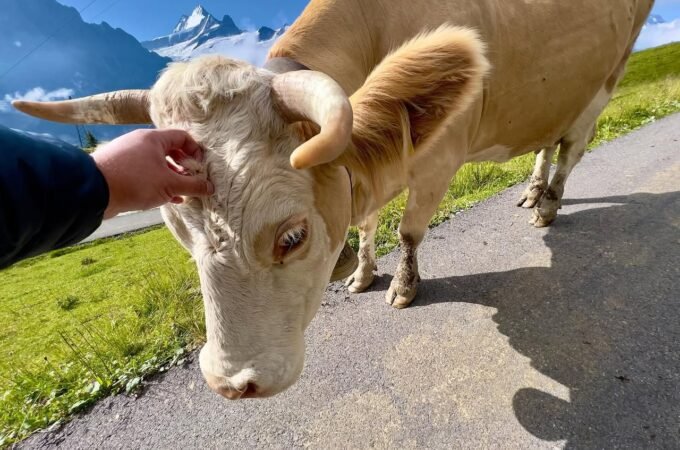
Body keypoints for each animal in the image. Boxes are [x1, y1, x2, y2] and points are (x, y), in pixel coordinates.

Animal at [14, 0, 654, 399]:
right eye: (179, 233)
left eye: (292, 236)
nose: (231, 384)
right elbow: (367, 220)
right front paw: (363, 273)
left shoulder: (439, 159)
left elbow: (408, 231)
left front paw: (402, 286)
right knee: (548, 140)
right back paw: (530, 192)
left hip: (606, 78)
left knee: (572, 146)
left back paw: (548, 204)